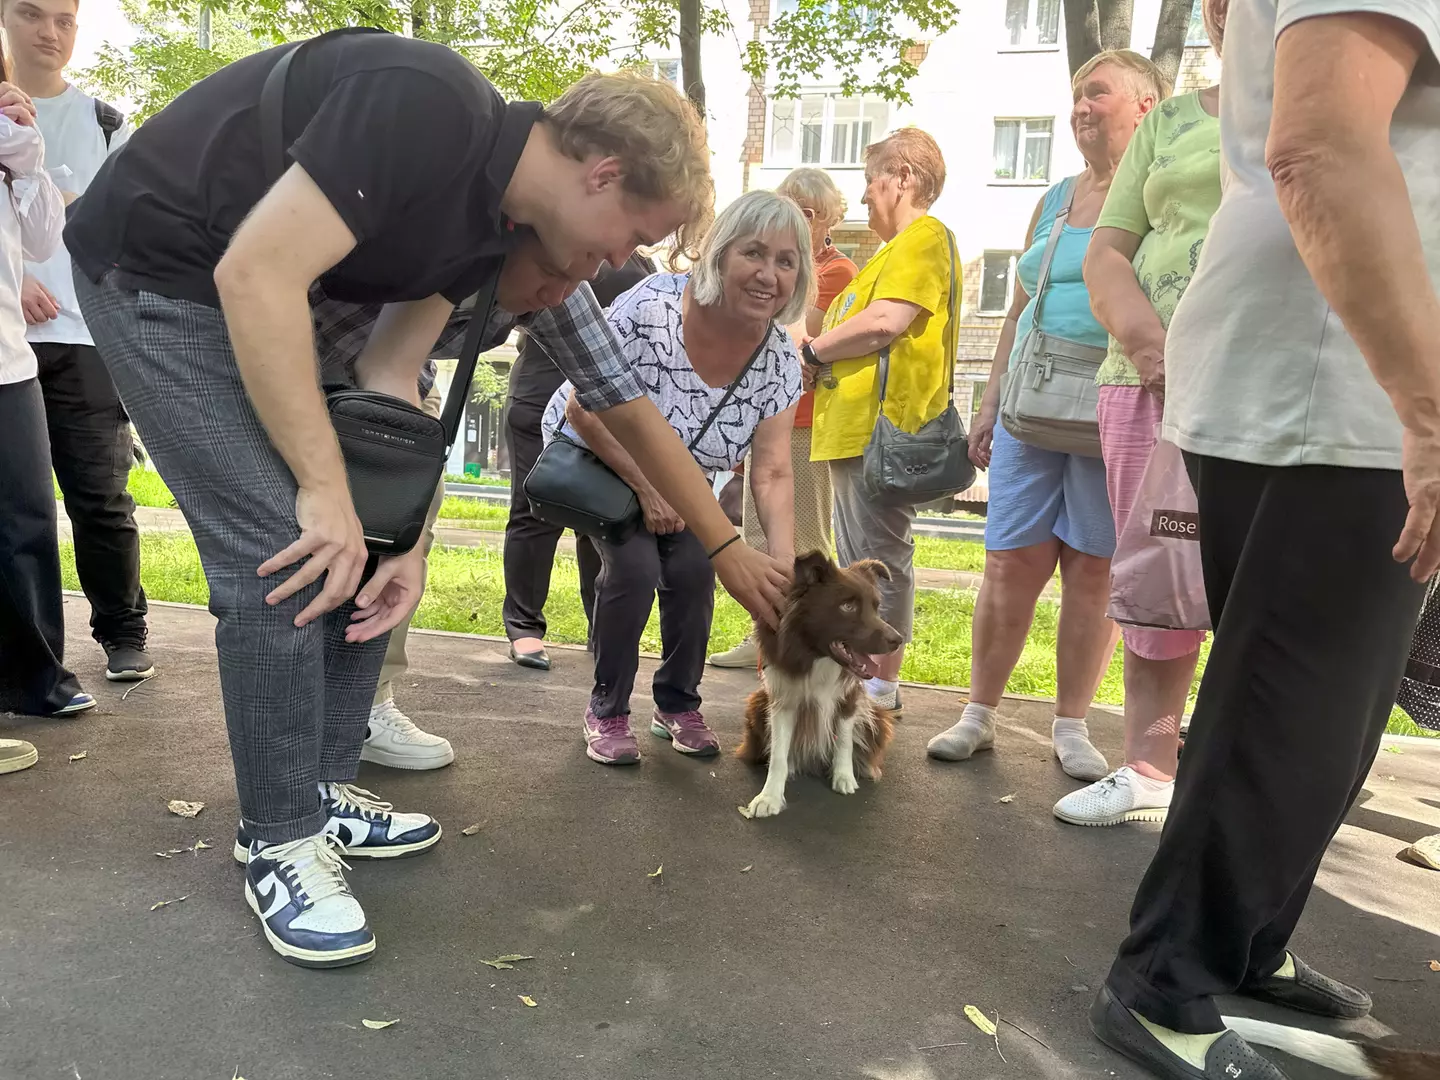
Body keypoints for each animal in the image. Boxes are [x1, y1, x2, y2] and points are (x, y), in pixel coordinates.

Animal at [743, 558, 898, 817]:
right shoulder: (782, 700)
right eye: (847, 606)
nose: (898, 639)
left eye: (876, 607)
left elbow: (844, 740)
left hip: (876, 716)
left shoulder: (849, 698)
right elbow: (778, 753)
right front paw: (769, 797)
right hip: (758, 703)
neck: (816, 655)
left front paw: (844, 776)